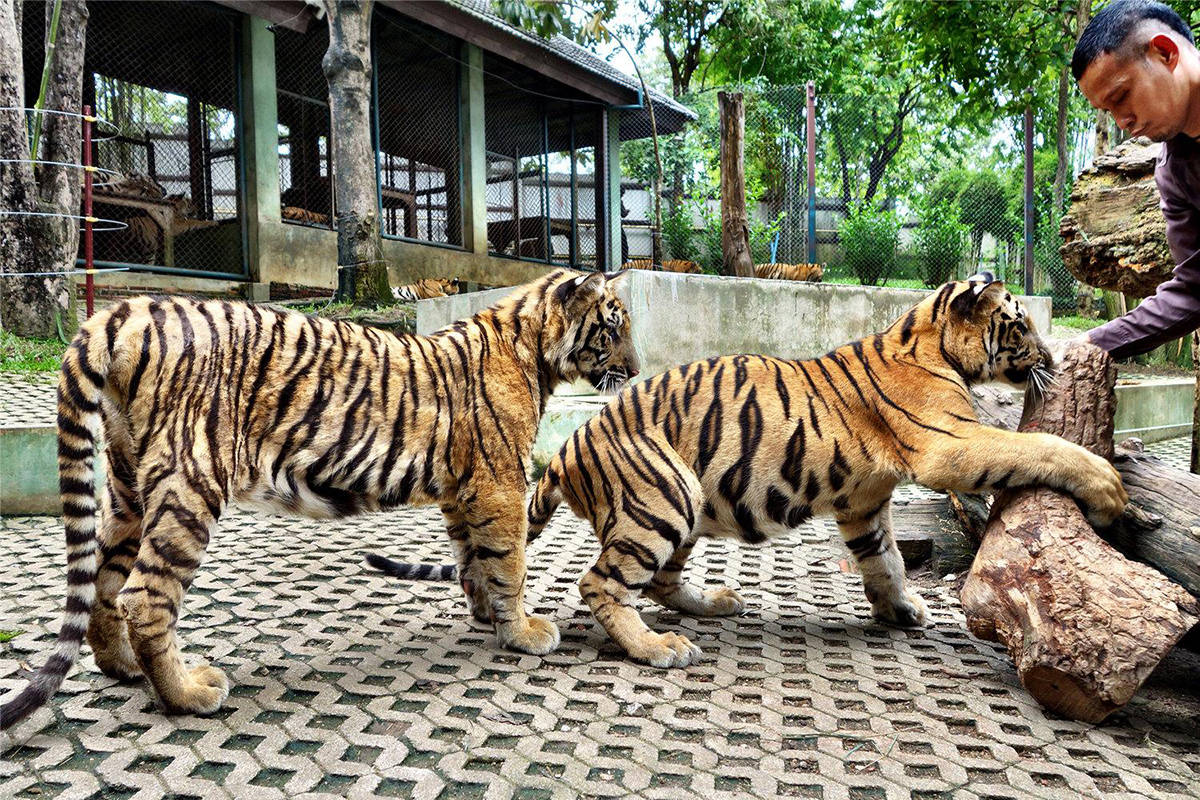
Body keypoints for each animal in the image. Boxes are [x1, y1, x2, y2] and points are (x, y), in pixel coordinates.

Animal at [0, 271, 643, 734]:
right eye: (612, 329)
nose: (636, 371)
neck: (532, 344)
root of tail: (122, 310)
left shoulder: (462, 488)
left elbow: (473, 558)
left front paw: (487, 614)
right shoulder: (500, 480)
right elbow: (509, 559)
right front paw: (523, 631)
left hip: (129, 485)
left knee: (105, 580)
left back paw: (126, 668)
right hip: (190, 482)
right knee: (145, 594)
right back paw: (188, 694)